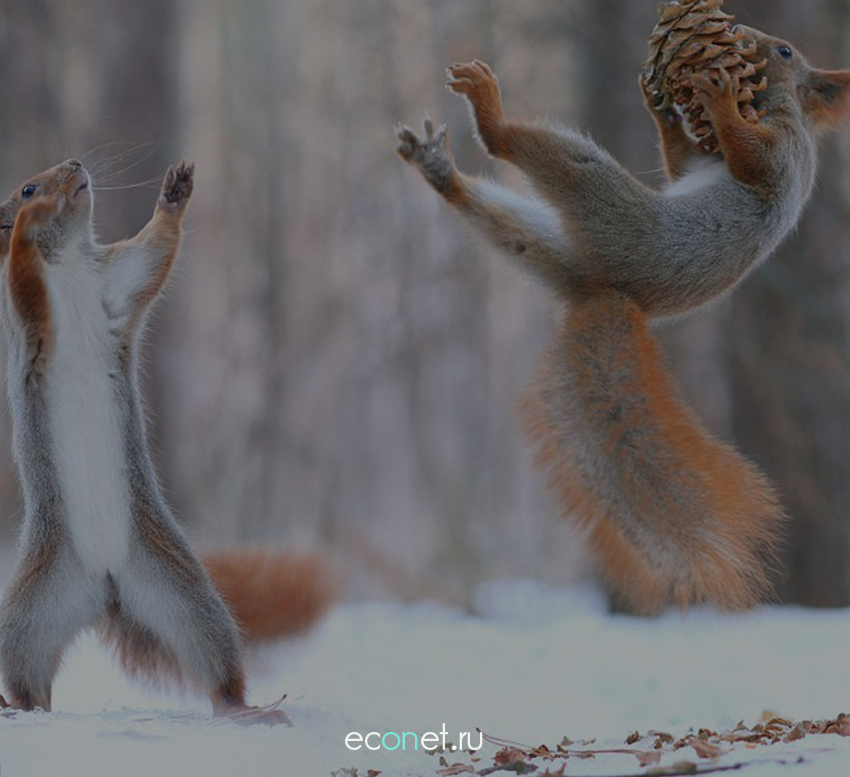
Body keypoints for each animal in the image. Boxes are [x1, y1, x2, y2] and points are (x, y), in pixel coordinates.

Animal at [0, 158, 332, 720]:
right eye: (25, 187)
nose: (75, 166)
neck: (67, 261)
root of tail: (106, 586)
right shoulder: (28, 316)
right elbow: (21, 273)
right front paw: (27, 222)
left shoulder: (116, 281)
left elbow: (154, 253)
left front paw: (174, 195)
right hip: (29, 610)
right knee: (28, 679)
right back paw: (17, 707)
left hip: (183, 594)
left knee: (215, 666)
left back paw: (247, 710)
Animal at [396, 22, 848, 612]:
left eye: (787, 51)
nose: (744, 35)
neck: (776, 105)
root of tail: (607, 292)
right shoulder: (701, 163)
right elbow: (683, 162)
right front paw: (665, 110)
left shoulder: (782, 154)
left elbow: (751, 159)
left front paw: (721, 100)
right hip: (544, 243)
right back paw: (439, 169)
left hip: (605, 203)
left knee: (520, 149)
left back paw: (489, 113)